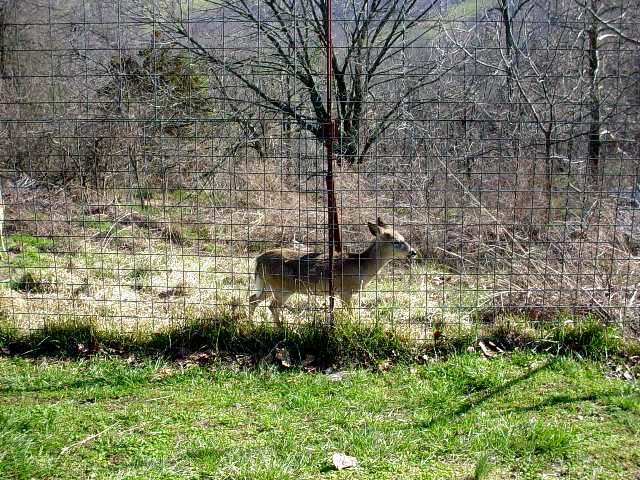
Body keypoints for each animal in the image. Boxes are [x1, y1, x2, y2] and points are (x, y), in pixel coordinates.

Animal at [248, 218, 418, 328]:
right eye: (396, 241)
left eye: (403, 238)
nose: (413, 252)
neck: (361, 267)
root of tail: (259, 259)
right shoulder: (345, 291)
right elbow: (350, 312)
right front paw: (355, 326)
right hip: (282, 287)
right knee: (272, 306)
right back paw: (281, 328)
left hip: (268, 285)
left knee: (252, 299)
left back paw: (251, 325)